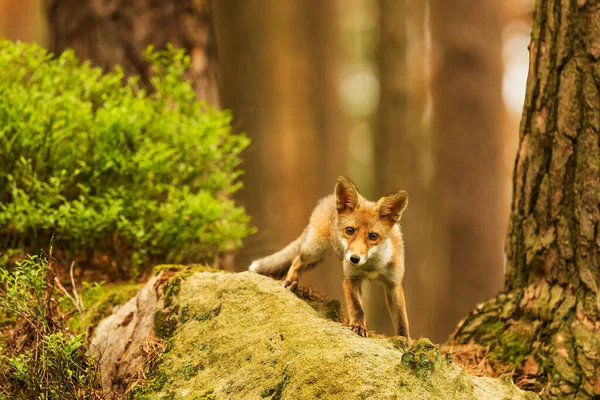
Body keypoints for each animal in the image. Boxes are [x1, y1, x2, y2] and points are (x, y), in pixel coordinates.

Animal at [247, 175, 408, 338]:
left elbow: (401, 320)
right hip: (314, 250)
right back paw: (291, 281)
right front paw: (358, 325)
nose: (354, 259)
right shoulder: (351, 279)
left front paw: (404, 340)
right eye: (350, 230)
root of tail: (327, 199)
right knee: (297, 259)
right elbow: (357, 308)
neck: (371, 267)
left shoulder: (393, 285)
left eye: (373, 236)